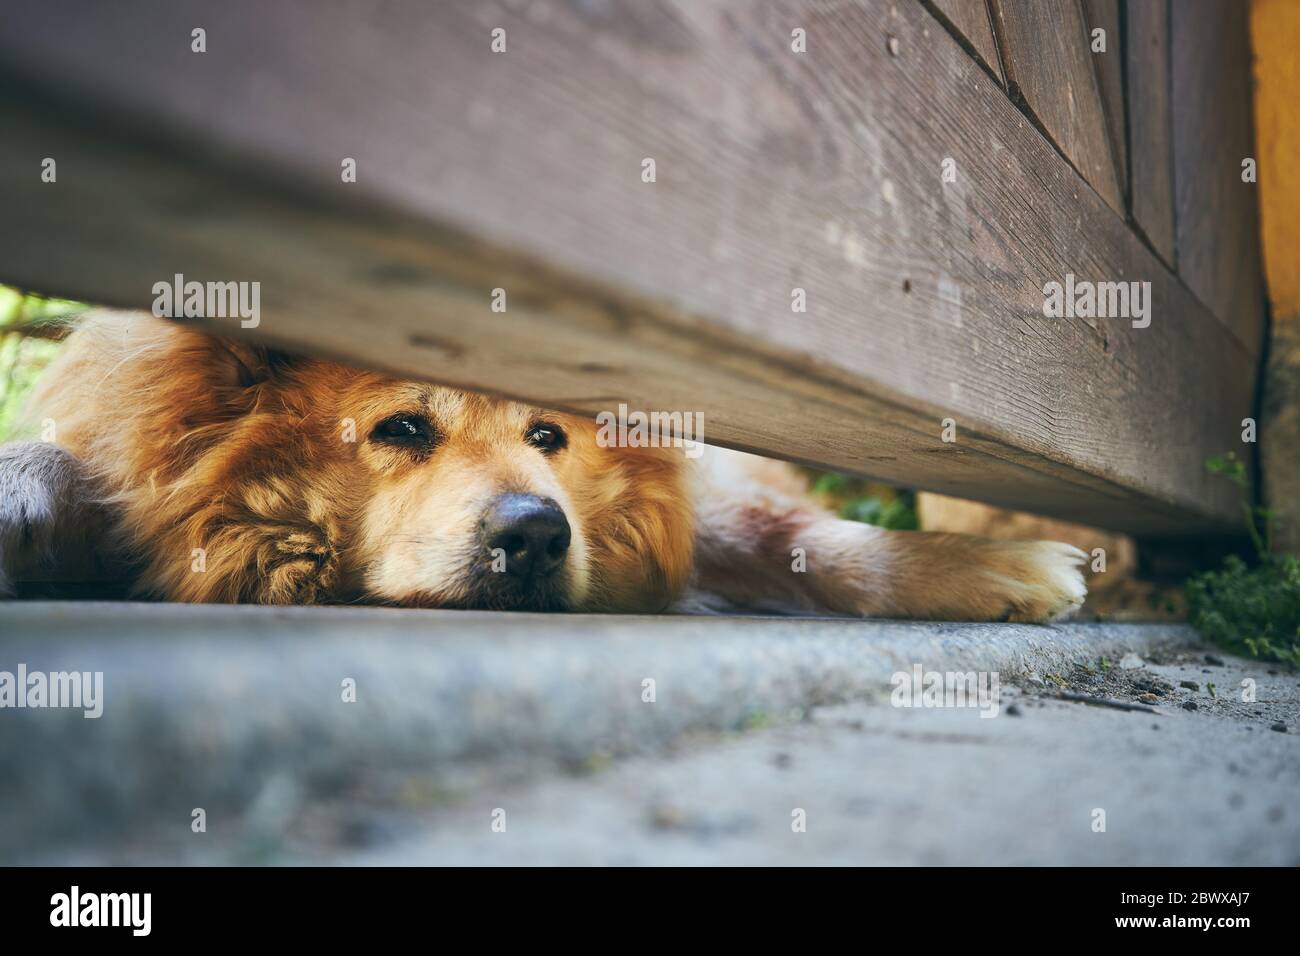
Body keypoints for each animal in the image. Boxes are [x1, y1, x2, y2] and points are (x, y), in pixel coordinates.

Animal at [0, 308, 1086, 621]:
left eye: (549, 437)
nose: (534, 536)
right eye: (403, 428)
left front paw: (983, 568)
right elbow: (62, 466)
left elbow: (805, 542)